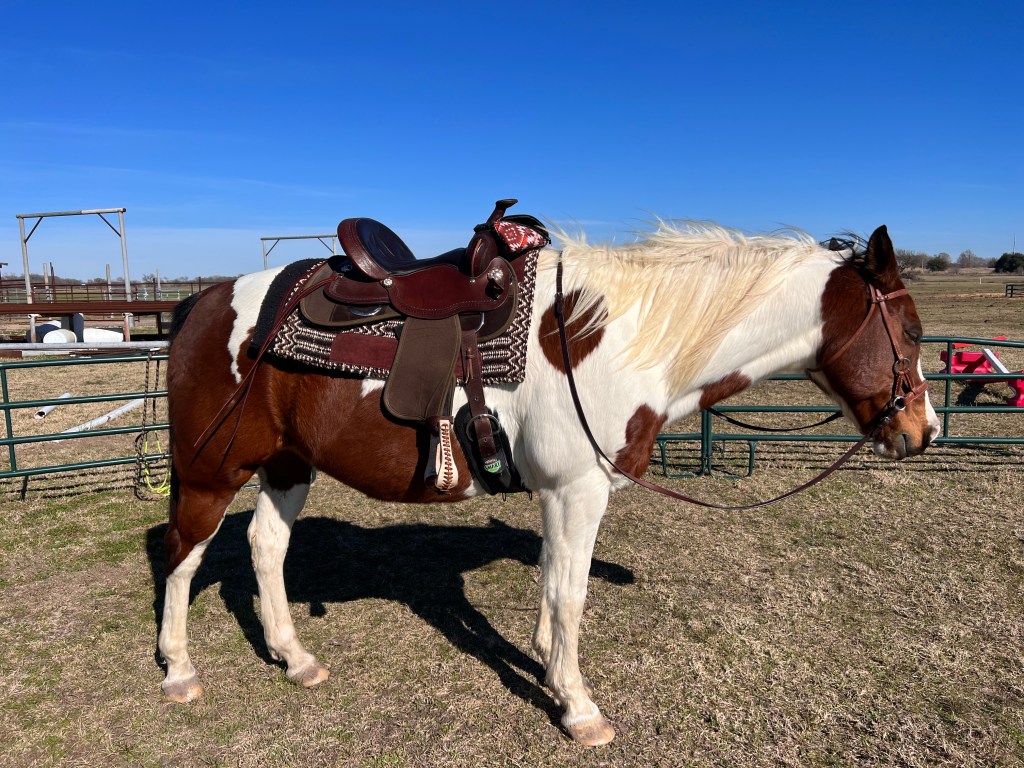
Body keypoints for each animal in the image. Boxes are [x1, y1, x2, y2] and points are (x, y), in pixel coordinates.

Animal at [158, 217, 940, 746]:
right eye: (910, 330)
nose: (924, 431)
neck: (616, 340)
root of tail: (203, 301)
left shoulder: (561, 497)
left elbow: (550, 583)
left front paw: (544, 666)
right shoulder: (575, 491)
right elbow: (570, 595)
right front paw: (578, 706)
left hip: (287, 465)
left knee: (265, 547)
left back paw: (295, 659)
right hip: (211, 470)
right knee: (183, 558)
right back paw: (179, 672)